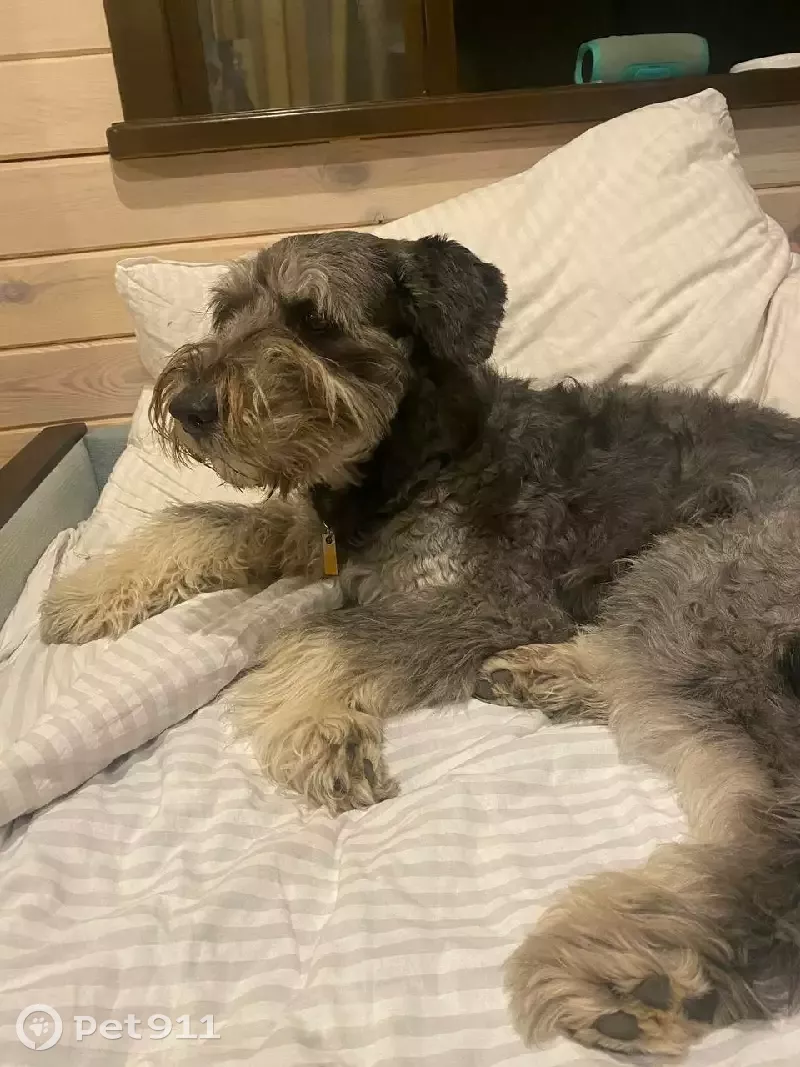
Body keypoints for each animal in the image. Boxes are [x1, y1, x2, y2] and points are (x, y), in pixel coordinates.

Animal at [39, 230, 800, 1056]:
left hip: (702, 582)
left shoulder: (489, 597)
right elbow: (201, 521)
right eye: (227, 309)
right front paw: (81, 595)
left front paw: (320, 732)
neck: (417, 456)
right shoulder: (316, 535)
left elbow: (328, 635)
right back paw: (548, 675)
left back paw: (651, 974)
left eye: (314, 319)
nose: (188, 406)